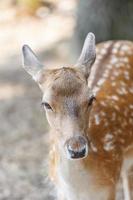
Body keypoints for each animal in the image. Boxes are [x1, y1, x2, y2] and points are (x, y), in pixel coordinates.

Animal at [21, 32, 133, 200]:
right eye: (46, 104)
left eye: (91, 98)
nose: (77, 150)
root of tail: (120, 41)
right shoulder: (60, 191)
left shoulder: (109, 188)